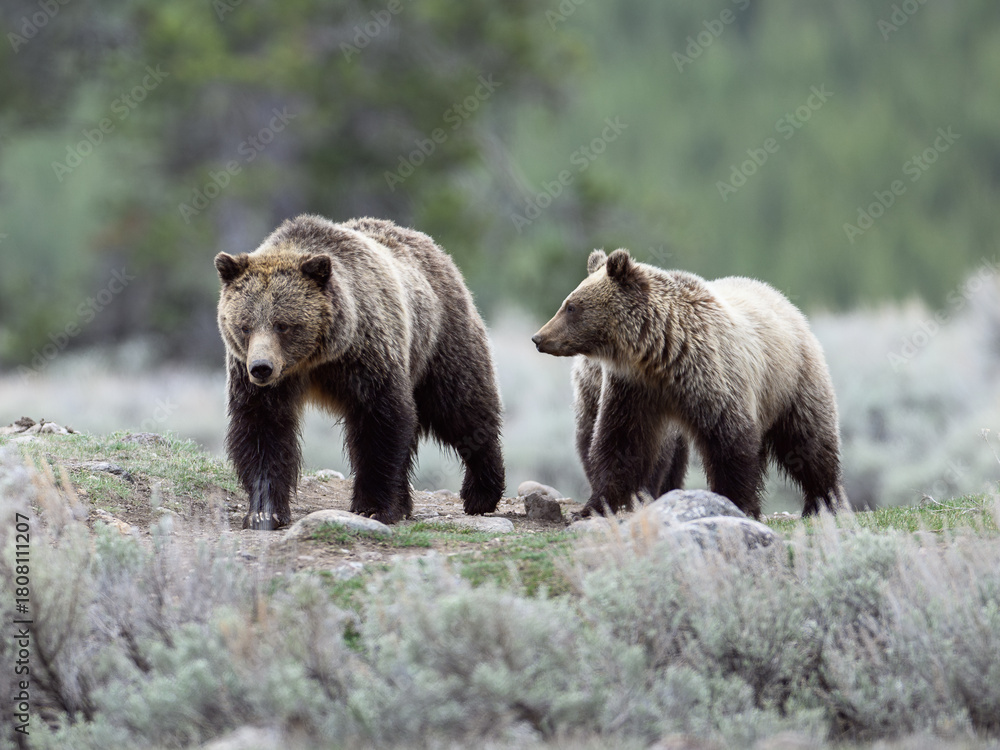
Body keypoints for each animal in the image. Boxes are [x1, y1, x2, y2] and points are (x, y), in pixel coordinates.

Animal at [215, 215, 505, 529]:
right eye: (245, 326)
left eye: (283, 325)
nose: (261, 368)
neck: (314, 359)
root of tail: (433, 247)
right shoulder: (259, 379)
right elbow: (263, 429)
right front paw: (264, 512)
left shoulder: (364, 354)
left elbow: (379, 422)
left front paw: (372, 507)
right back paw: (405, 503)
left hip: (439, 339)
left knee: (461, 406)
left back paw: (481, 493)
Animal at [531, 248, 846, 519]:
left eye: (571, 306)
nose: (539, 337)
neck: (659, 354)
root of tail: (782, 298)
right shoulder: (632, 389)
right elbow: (620, 443)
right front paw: (593, 506)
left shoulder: (711, 378)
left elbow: (730, 443)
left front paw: (736, 502)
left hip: (793, 379)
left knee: (809, 442)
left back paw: (823, 502)